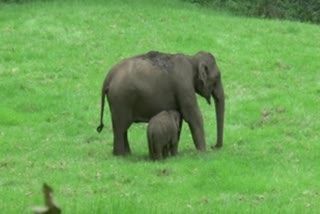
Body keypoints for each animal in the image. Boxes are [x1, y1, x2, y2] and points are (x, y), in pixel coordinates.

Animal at [96, 51, 224, 155]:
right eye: (217, 77)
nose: (215, 146)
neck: (191, 59)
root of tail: (108, 77)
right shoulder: (184, 84)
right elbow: (193, 116)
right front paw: (204, 153)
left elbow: (180, 120)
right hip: (121, 100)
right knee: (120, 127)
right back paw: (120, 155)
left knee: (122, 128)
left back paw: (127, 154)